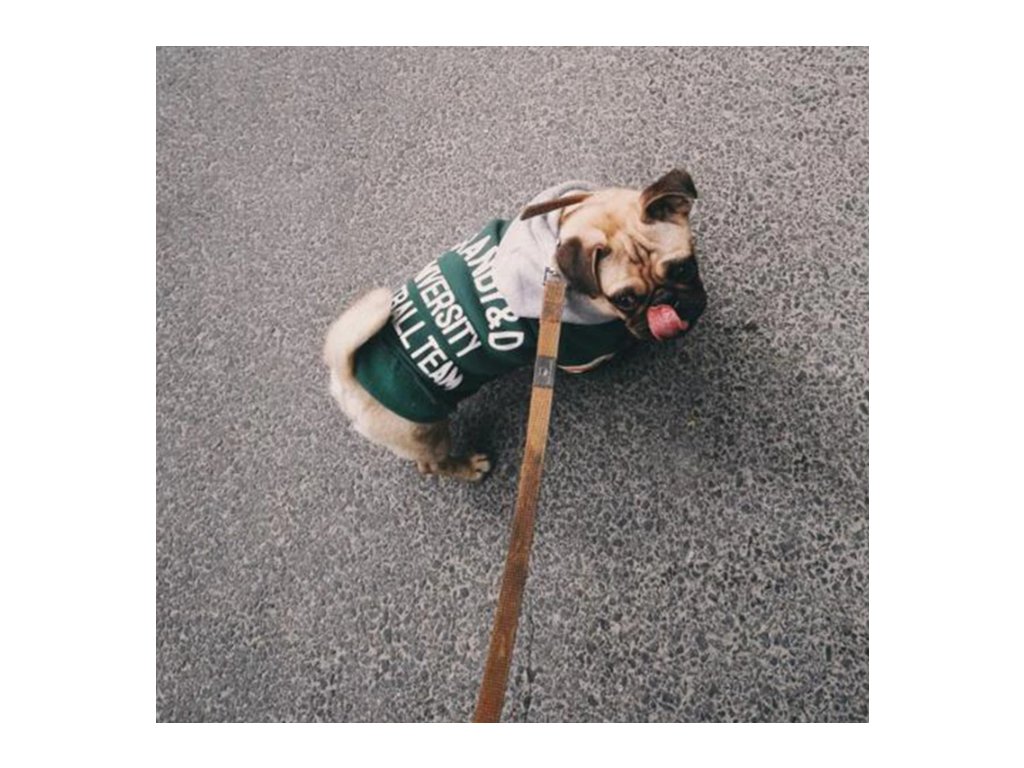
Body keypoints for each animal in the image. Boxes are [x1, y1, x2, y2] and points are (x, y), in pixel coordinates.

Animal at [323, 169, 707, 481]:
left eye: (684, 267)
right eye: (625, 300)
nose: (665, 302)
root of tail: (347, 378)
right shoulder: (577, 354)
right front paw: (625, 344)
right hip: (425, 431)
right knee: (431, 464)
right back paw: (467, 468)